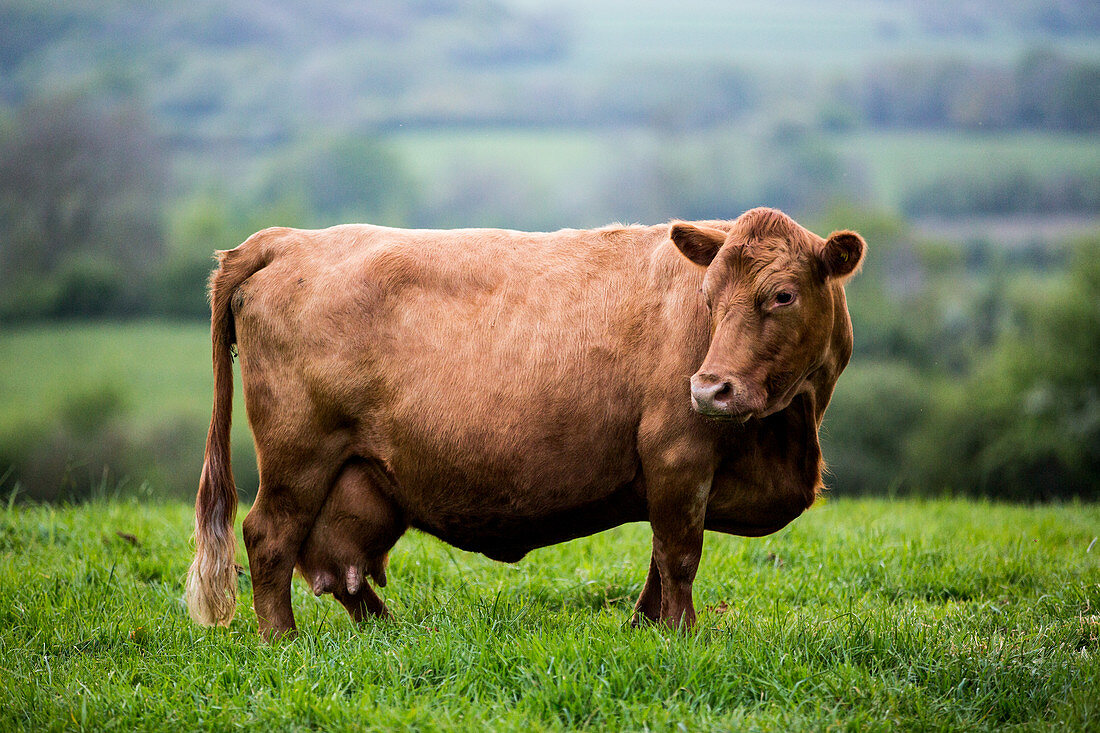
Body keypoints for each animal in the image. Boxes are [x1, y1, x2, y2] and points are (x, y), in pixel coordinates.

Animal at [184, 203, 862, 633]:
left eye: (783, 295)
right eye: (708, 297)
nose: (710, 389)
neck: (791, 429)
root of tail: (288, 238)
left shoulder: (672, 478)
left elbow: (658, 559)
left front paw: (647, 627)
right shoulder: (678, 457)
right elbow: (678, 556)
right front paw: (682, 635)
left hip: (357, 475)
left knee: (334, 566)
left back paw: (388, 631)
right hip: (298, 456)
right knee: (268, 538)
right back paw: (282, 639)